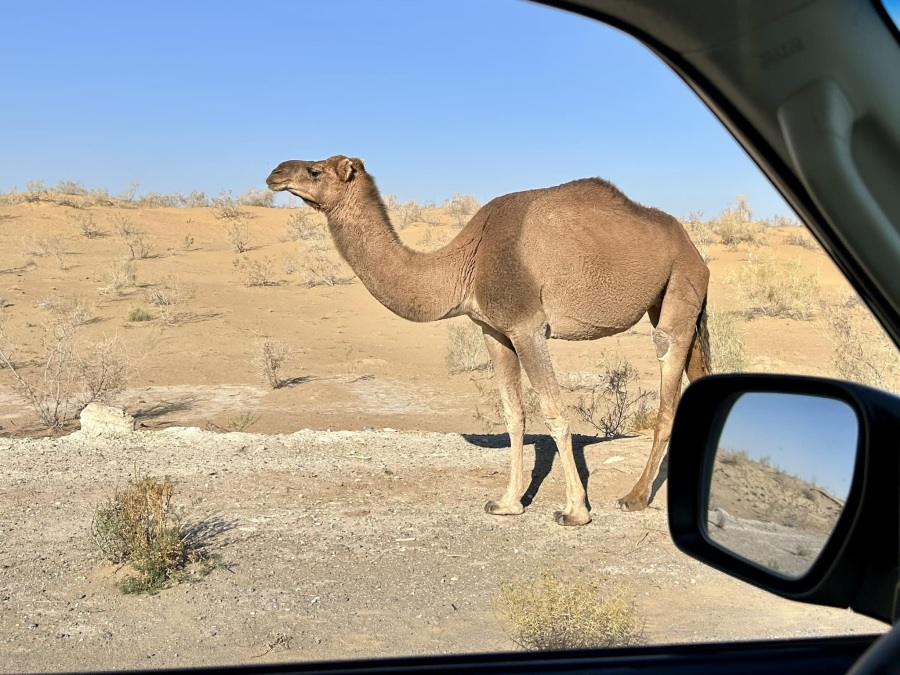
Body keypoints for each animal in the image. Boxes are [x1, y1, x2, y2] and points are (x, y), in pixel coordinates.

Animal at [266, 155, 711, 525]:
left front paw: (574, 511)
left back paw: (634, 497)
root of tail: (693, 247)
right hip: (669, 299)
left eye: (315, 172)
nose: (275, 173)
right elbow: (513, 415)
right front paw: (507, 503)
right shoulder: (495, 331)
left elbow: (555, 414)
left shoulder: (528, 327)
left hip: (680, 286)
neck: (466, 262)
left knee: (666, 367)